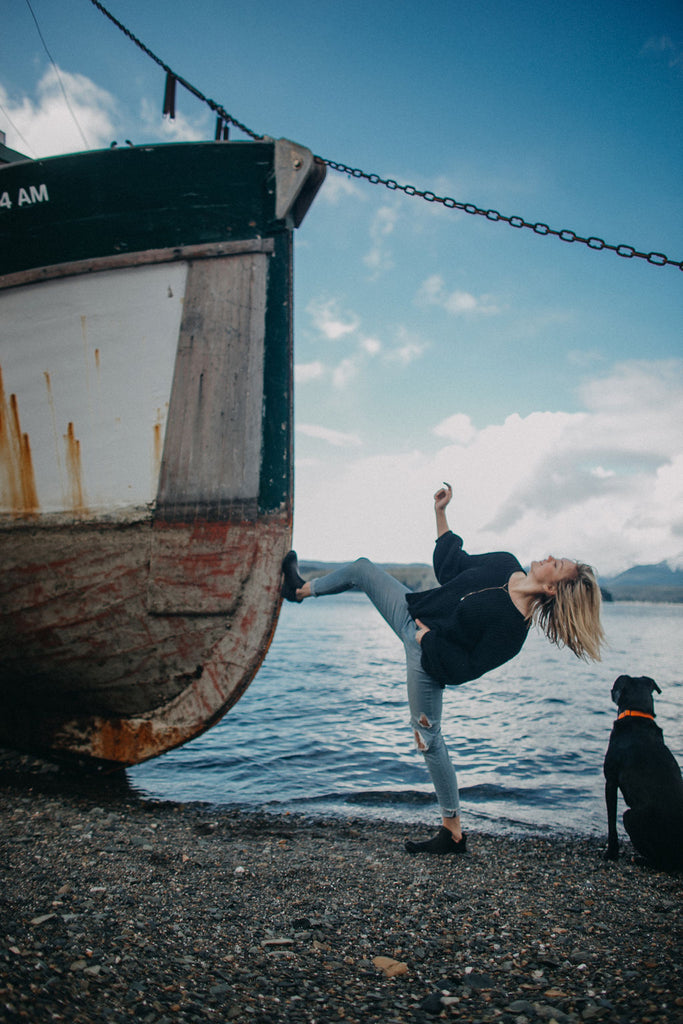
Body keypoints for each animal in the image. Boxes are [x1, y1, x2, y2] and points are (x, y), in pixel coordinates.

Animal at [602, 675, 683, 868]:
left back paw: (640, 859)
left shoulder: (611, 781)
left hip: (630, 816)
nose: (610, 690)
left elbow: (611, 823)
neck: (638, 713)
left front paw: (611, 853)